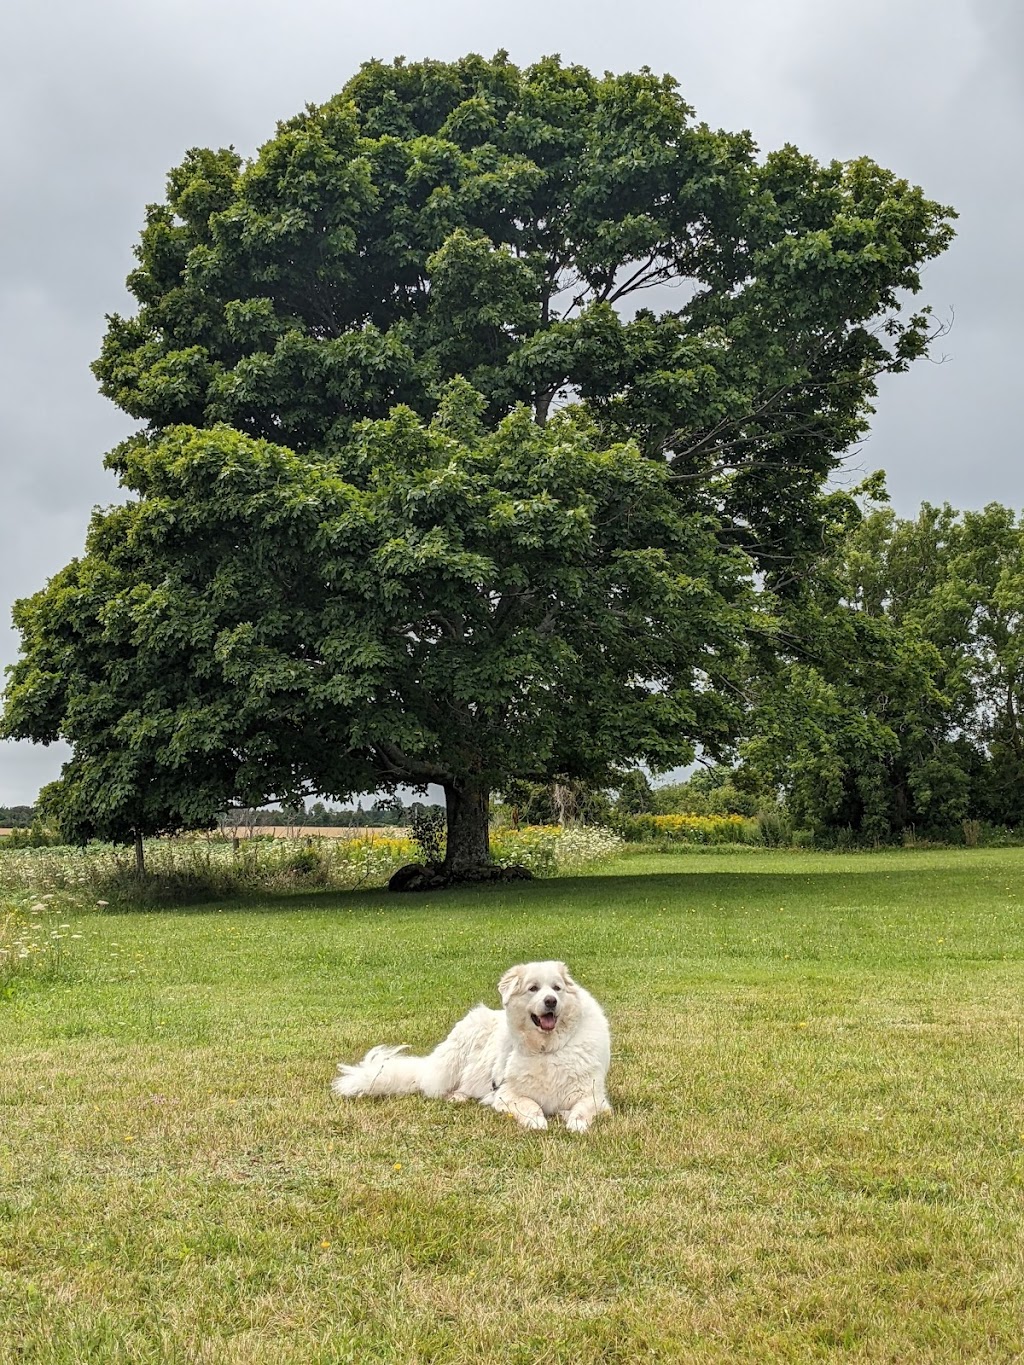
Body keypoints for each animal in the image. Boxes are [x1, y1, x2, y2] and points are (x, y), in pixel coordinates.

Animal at [333, 960, 614, 1130]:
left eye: (557, 988)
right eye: (533, 988)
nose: (550, 1001)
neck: (548, 1048)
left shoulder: (593, 1096)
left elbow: (583, 1109)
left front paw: (575, 1123)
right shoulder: (505, 1093)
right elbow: (530, 1105)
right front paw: (537, 1122)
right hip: (460, 1049)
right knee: (434, 1088)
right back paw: (456, 1096)